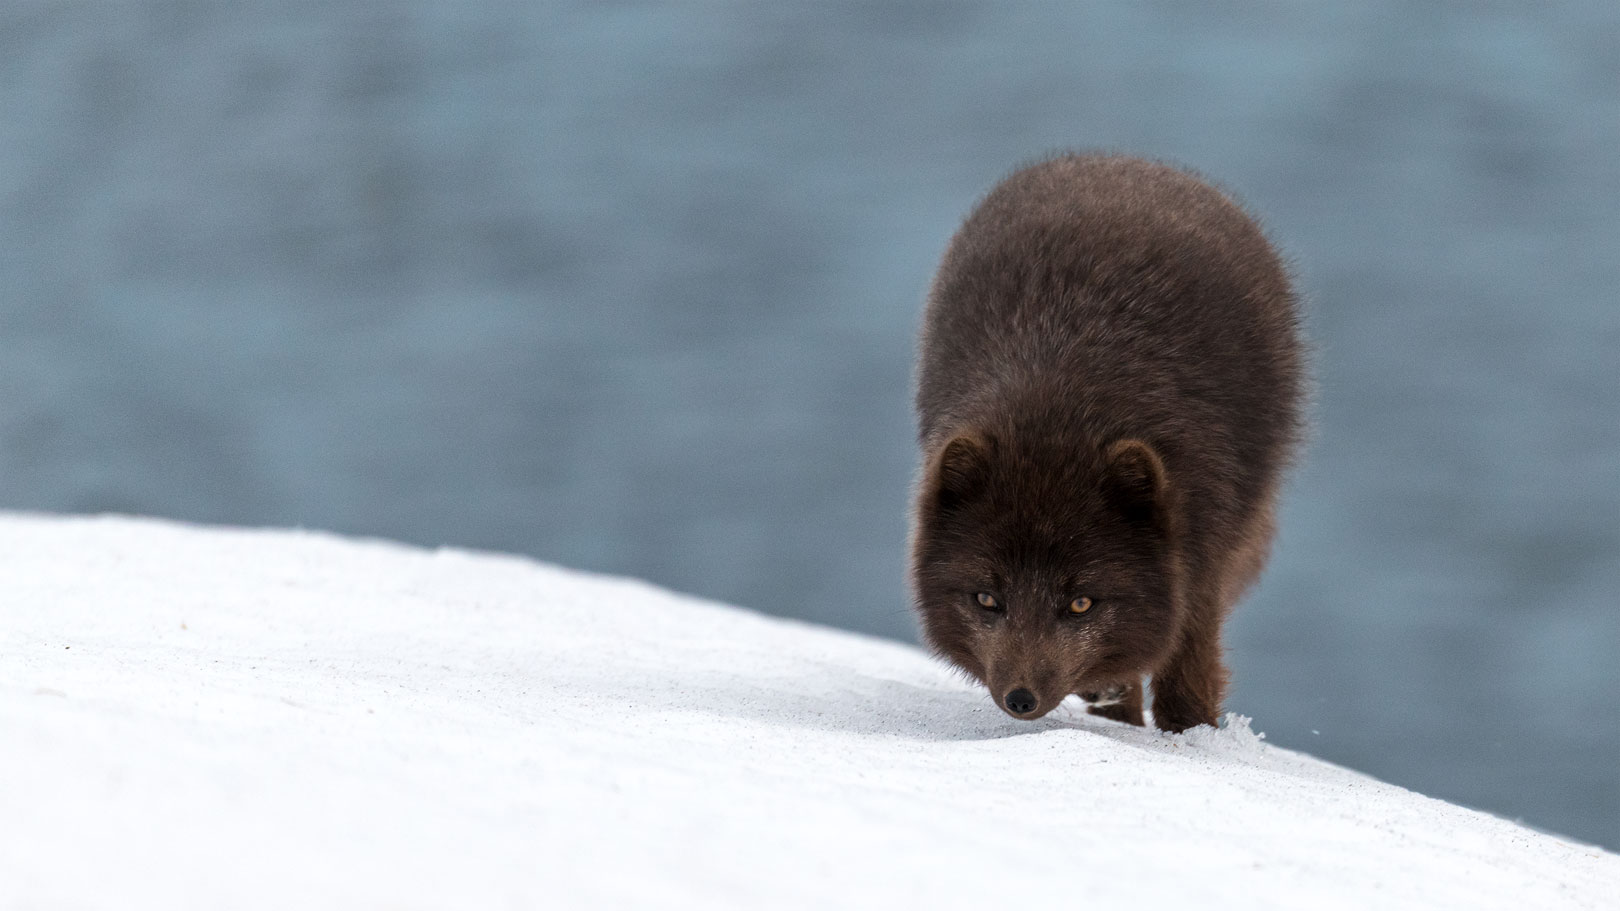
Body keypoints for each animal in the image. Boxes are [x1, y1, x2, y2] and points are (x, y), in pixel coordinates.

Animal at [913, 152, 1302, 726]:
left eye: (1080, 604)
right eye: (987, 599)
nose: (1021, 700)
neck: (1058, 410)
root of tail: (1125, 161)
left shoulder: (1201, 550)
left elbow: (1188, 665)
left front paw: (1189, 737)